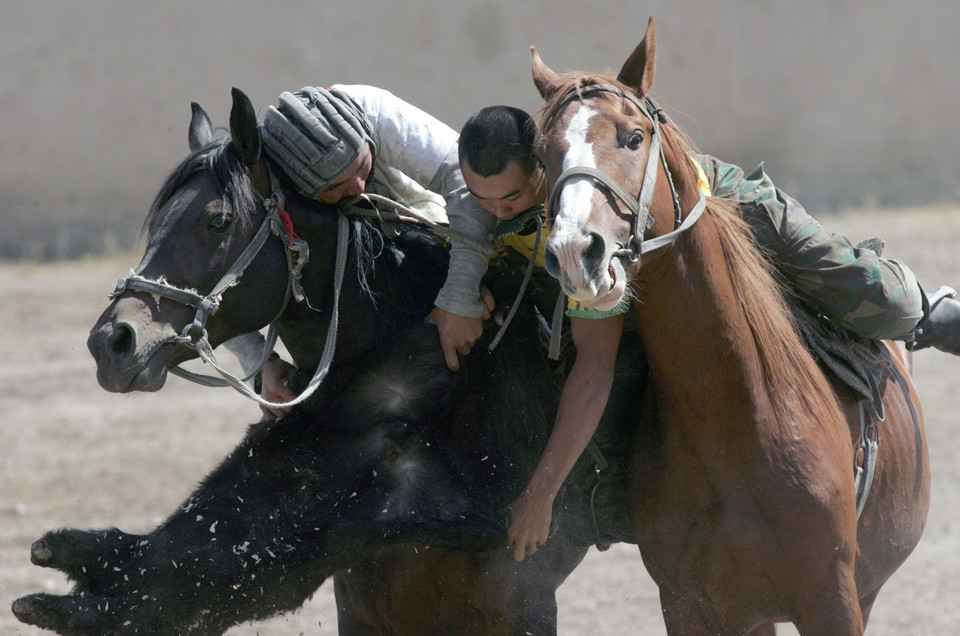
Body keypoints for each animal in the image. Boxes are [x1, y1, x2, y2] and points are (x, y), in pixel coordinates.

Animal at [532, 17, 928, 632]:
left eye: (633, 138)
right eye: (542, 155)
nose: (576, 252)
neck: (735, 416)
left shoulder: (832, 597)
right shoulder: (690, 604)